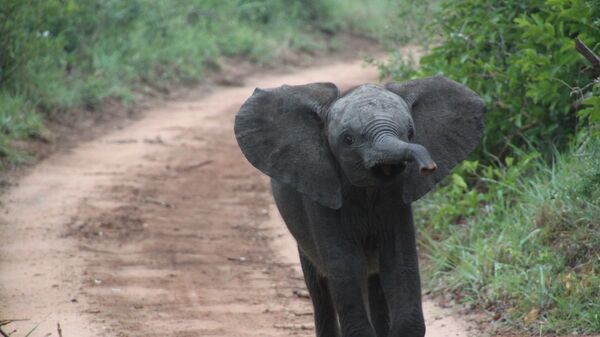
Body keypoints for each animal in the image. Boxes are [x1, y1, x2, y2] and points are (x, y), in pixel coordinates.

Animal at [232, 76, 486, 336]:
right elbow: (348, 267)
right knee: (320, 289)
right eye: (348, 139)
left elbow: (398, 263)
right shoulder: (322, 195)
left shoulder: (397, 201)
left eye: (411, 132)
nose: (428, 167)